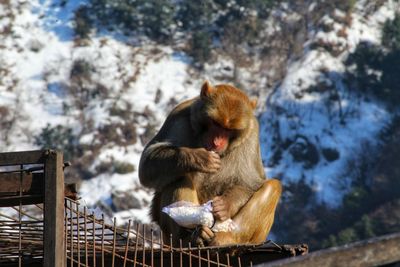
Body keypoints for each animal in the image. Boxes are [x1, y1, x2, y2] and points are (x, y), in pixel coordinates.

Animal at [139, 81, 282, 247]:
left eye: (228, 129)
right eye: (215, 123)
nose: (217, 142)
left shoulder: (252, 133)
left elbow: (251, 181)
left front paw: (225, 205)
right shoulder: (179, 117)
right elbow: (147, 165)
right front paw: (199, 158)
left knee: (273, 186)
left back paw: (227, 238)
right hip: (169, 235)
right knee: (179, 176)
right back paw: (192, 236)